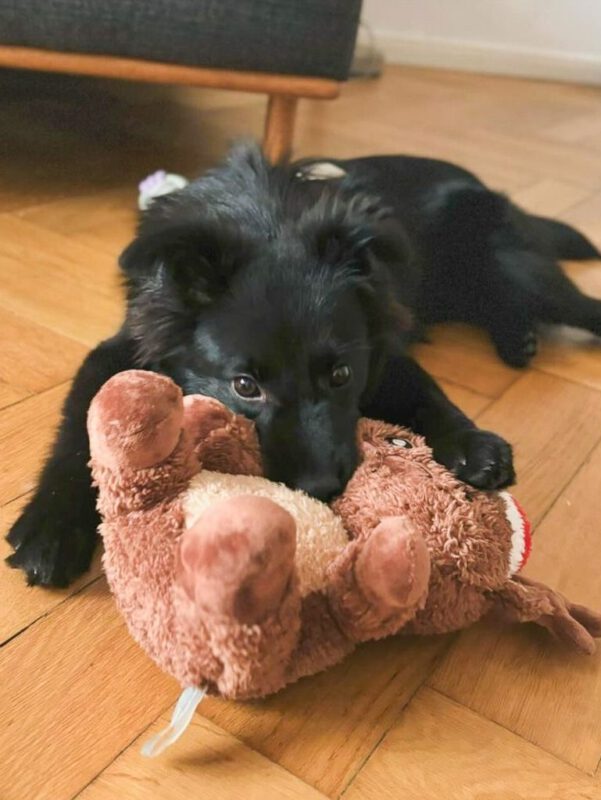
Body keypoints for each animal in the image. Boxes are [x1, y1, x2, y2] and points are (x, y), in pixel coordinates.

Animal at [7, 142, 601, 587]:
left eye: (340, 376)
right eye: (245, 386)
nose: (322, 487)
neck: (265, 222)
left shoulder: (383, 345)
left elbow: (429, 393)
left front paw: (472, 444)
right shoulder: (118, 352)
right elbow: (78, 434)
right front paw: (50, 528)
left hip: (517, 269)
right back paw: (519, 340)